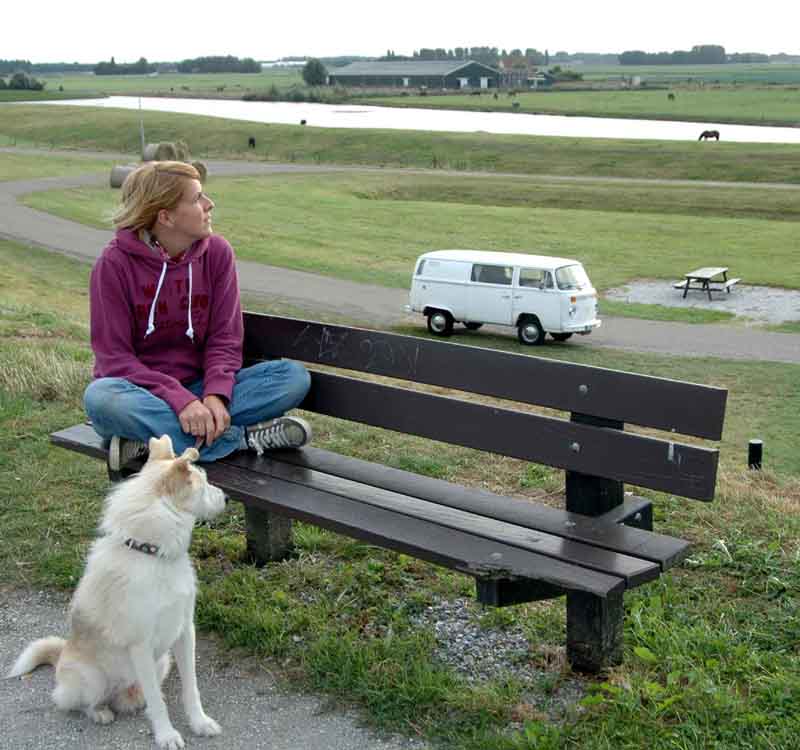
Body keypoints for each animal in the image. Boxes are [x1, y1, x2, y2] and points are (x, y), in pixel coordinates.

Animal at [7, 435, 227, 749]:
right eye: (203, 482)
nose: (227, 498)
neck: (152, 554)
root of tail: (61, 655)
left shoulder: (185, 631)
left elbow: (190, 688)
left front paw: (199, 722)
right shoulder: (141, 646)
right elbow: (159, 703)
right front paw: (166, 734)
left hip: (163, 662)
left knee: (141, 695)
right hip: (92, 678)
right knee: (79, 702)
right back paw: (100, 712)